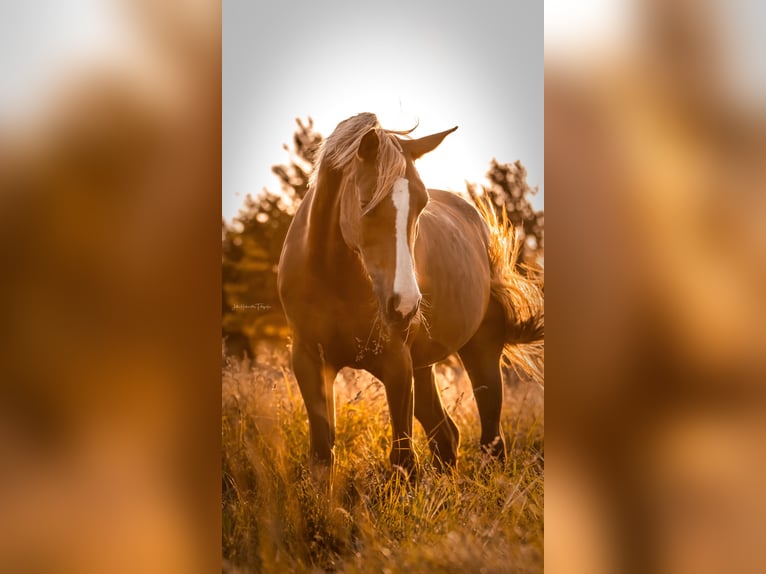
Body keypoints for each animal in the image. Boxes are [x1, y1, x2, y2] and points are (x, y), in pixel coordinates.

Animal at [280, 113, 544, 476]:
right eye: (366, 202)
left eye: (422, 204)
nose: (405, 304)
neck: (332, 277)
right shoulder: (308, 362)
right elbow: (322, 458)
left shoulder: (396, 364)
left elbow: (403, 461)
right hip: (423, 365)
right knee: (446, 436)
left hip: (481, 352)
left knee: (491, 441)